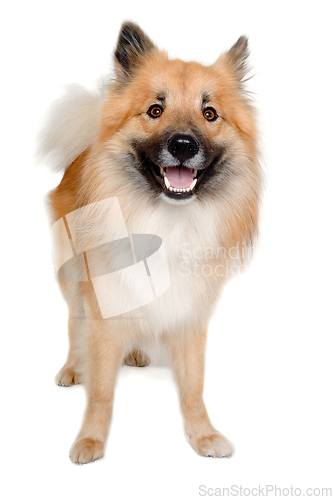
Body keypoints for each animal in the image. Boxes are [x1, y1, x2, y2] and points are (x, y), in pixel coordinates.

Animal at [39, 21, 260, 462]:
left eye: (210, 114)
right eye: (155, 110)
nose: (183, 145)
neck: (168, 221)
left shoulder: (190, 314)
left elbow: (193, 388)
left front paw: (203, 435)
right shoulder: (104, 308)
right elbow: (101, 392)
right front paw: (90, 440)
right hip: (73, 279)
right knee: (73, 324)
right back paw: (72, 367)